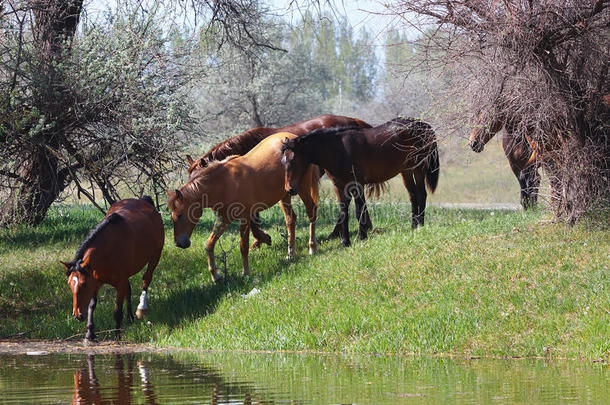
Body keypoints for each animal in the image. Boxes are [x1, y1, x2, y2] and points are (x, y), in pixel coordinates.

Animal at [60, 195, 163, 338]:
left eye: (84, 284)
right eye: (69, 284)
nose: (77, 315)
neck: (109, 249)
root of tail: (144, 201)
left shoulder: (118, 283)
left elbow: (117, 311)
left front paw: (117, 336)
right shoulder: (95, 281)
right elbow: (92, 305)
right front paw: (90, 333)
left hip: (156, 255)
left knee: (146, 279)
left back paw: (141, 307)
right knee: (129, 288)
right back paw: (130, 318)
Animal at [166, 131, 318, 282]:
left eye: (180, 215)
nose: (179, 243)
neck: (225, 183)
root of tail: (292, 136)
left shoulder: (244, 218)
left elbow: (243, 246)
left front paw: (246, 273)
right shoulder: (223, 220)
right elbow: (209, 244)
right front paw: (215, 275)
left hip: (302, 188)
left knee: (311, 213)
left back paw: (312, 248)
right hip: (285, 194)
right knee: (290, 220)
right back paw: (290, 253)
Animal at [280, 115, 436, 245]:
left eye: (293, 160)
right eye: (282, 162)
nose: (289, 189)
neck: (338, 150)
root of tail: (424, 125)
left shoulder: (357, 185)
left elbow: (359, 210)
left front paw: (362, 236)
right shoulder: (339, 186)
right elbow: (344, 213)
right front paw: (345, 241)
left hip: (419, 168)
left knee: (421, 194)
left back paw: (420, 225)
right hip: (406, 171)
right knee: (413, 196)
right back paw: (413, 225)